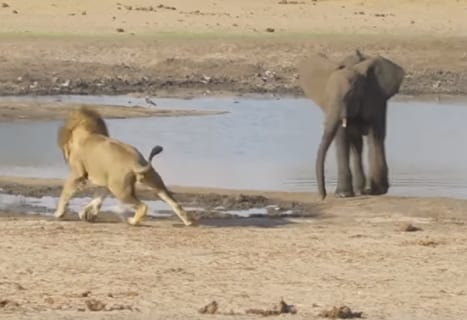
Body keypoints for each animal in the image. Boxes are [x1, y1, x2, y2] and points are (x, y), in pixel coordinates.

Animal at [55, 106, 197, 226]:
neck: (86, 132)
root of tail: (136, 162)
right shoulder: (106, 183)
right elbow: (97, 199)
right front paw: (86, 213)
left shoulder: (77, 174)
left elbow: (65, 193)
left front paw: (59, 213)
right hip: (154, 184)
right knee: (174, 203)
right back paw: (188, 221)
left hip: (120, 190)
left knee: (143, 206)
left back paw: (132, 221)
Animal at [300, 49, 406, 200]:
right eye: (326, 96)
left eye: (350, 95)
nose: (322, 196)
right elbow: (342, 138)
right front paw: (343, 194)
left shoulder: (375, 98)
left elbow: (376, 136)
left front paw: (377, 191)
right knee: (356, 143)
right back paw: (359, 189)